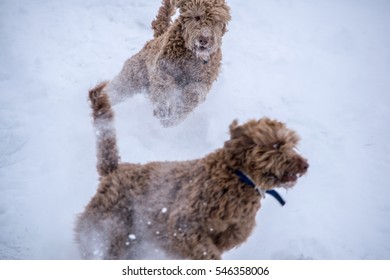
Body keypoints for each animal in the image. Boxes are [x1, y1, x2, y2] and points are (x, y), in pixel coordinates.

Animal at [74, 83, 310, 260]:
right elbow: (205, 251)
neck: (238, 179)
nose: (305, 165)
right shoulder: (184, 224)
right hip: (107, 225)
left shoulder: (235, 230)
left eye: (292, 144)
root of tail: (115, 169)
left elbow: (228, 239)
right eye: (277, 145)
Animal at [100, 0, 232, 127]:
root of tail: (157, 37)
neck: (191, 56)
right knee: (116, 89)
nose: (204, 39)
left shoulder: (202, 81)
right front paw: (163, 110)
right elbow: (163, 85)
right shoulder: (162, 68)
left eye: (216, 21)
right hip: (133, 76)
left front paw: (173, 117)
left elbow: (193, 95)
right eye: (197, 17)